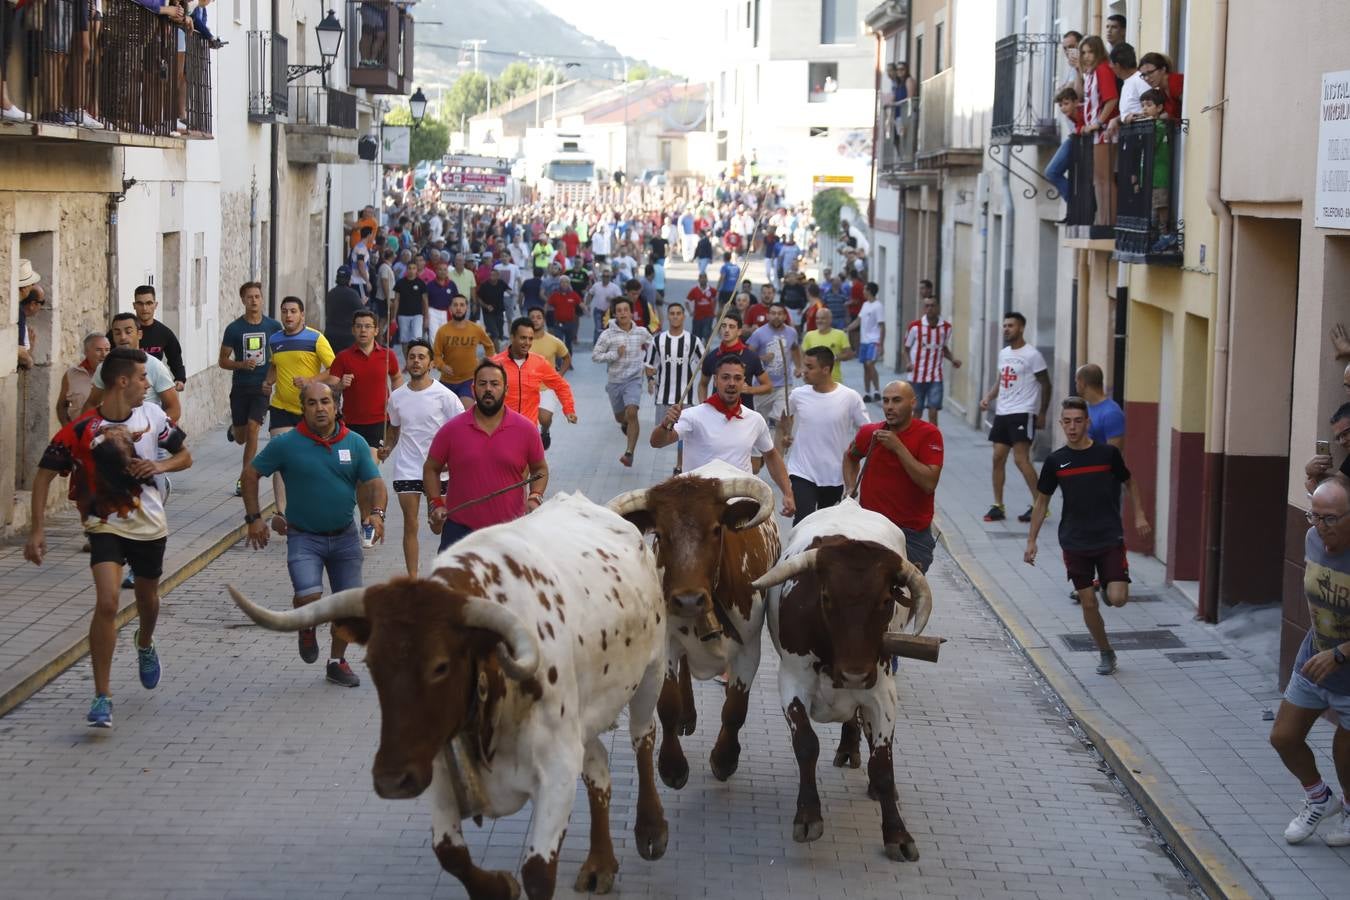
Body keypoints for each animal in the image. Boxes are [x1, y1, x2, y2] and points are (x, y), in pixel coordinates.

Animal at [226, 493, 669, 900]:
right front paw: (499, 886)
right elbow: (450, 854)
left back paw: (651, 829)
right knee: (598, 767)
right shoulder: (437, 762)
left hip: (651, 672)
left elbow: (538, 874)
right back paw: (600, 864)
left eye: (440, 666)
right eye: (372, 663)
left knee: (644, 738)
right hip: (585, 714)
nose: (392, 781)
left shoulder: (556, 769)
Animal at [610, 461, 788, 793]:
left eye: (717, 529)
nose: (689, 600)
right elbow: (668, 705)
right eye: (661, 534)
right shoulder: (666, 642)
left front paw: (724, 759)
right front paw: (672, 766)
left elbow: (735, 708)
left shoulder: (749, 648)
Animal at [756, 504, 934, 863]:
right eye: (825, 596)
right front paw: (808, 816)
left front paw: (897, 833)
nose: (855, 674)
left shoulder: (882, 693)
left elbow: (882, 762)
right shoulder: (791, 682)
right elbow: (806, 745)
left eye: (885, 600)